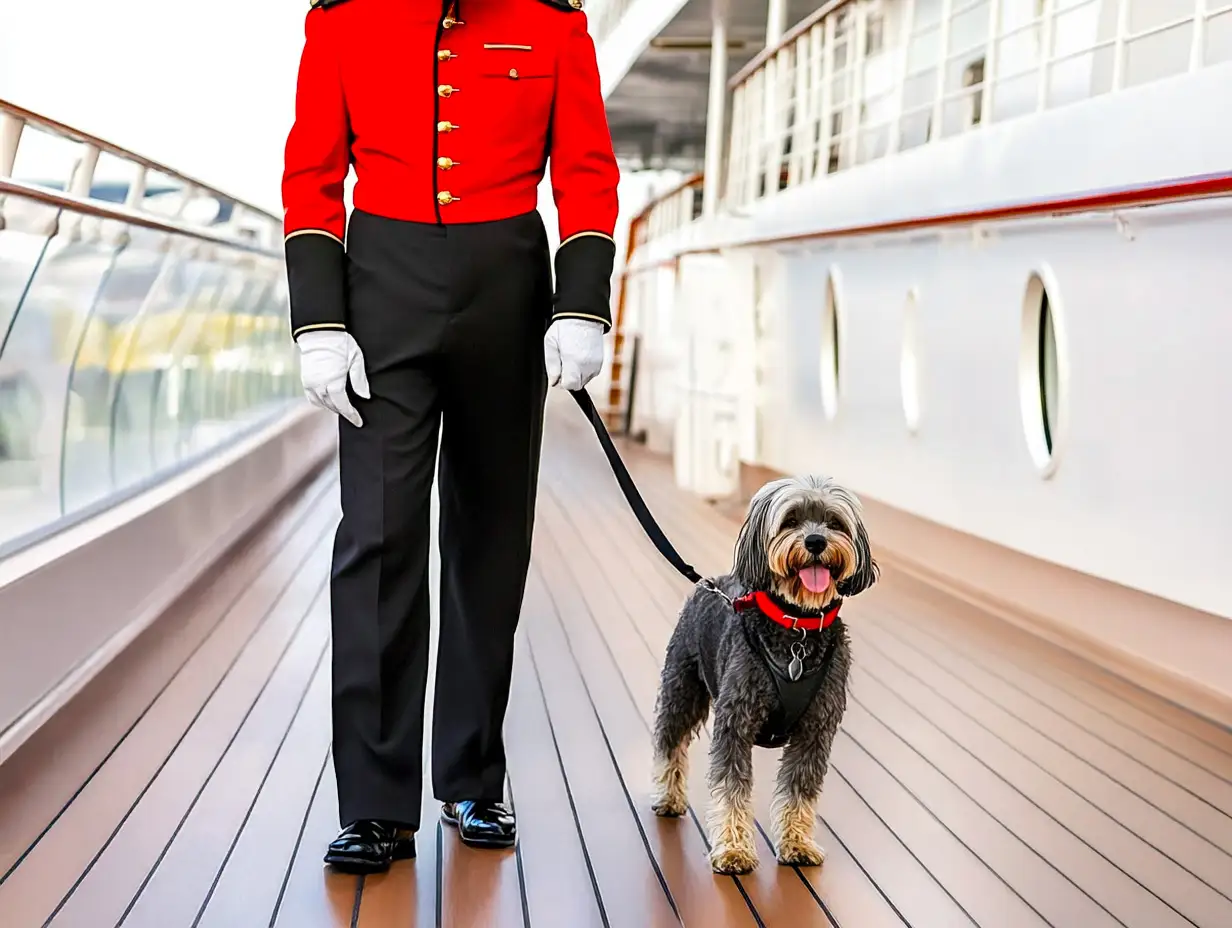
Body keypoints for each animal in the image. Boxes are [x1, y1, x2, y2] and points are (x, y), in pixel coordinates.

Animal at [650, 473, 872, 872]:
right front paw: (734, 850)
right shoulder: (735, 721)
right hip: (681, 688)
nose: (816, 541)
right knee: (668, 741)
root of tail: (709, 583)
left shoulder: (816, 731)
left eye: (834, 522)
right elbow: (731, 789)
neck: (797, 626)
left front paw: (797, 843)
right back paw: (667, 797)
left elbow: (800, 792)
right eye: (790, 520)